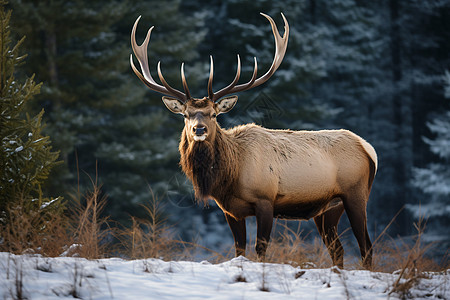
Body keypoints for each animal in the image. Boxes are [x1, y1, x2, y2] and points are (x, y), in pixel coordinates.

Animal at [132, 12, 378, 270]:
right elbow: (239, 250)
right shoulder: (230, 211)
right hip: (327, 209)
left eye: (213, 114)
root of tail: (368, 149)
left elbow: (261, 250)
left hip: (356, 194)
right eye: (186, 114)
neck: (231, 174)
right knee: (338, 250)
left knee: (366, 246)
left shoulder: (265, 200)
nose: (198, 129)